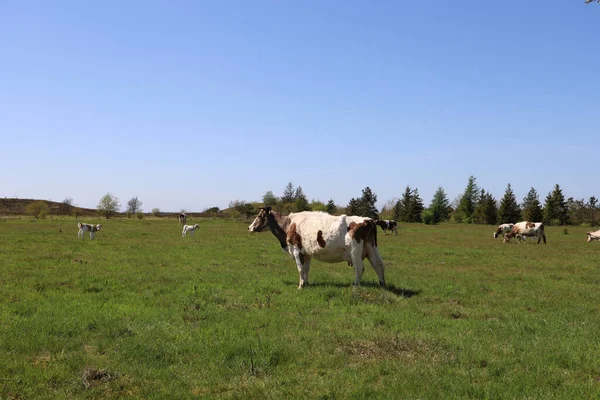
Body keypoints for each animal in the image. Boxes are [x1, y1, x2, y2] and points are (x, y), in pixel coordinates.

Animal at [247, 208, 384, 290]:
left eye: (259, 216)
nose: (249, 227)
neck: (288, 224)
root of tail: (368, 220)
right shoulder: (306, 253)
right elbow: (306, 269)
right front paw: (306, 283)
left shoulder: (296, 250)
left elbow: (300, 269)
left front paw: (300, 286)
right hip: (372, 249)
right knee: (379, 265)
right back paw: (382, 284)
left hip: (355, 252)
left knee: (360, 268)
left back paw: (355, 286)